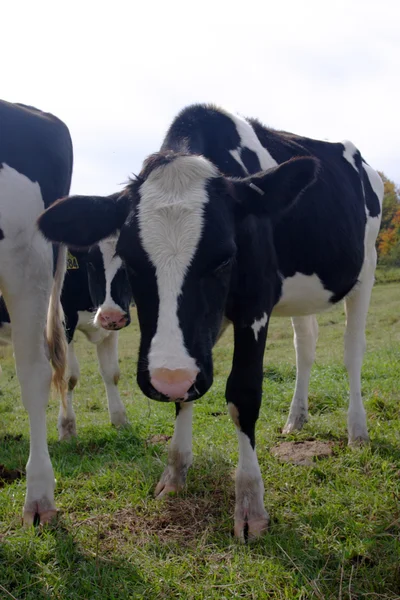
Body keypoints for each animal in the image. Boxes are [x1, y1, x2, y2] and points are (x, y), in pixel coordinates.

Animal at [38, 103, 384, 540]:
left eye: (224, 257)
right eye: (131, 260)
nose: (166, 379)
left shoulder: (254, 306)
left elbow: (243, 394)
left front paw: (250, 504)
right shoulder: (198, 337)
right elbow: (185, 394)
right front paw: (174, 474)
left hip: (365, 271)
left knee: (352, 353)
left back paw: (357, 431)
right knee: (305, 345)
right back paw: (296, 419)